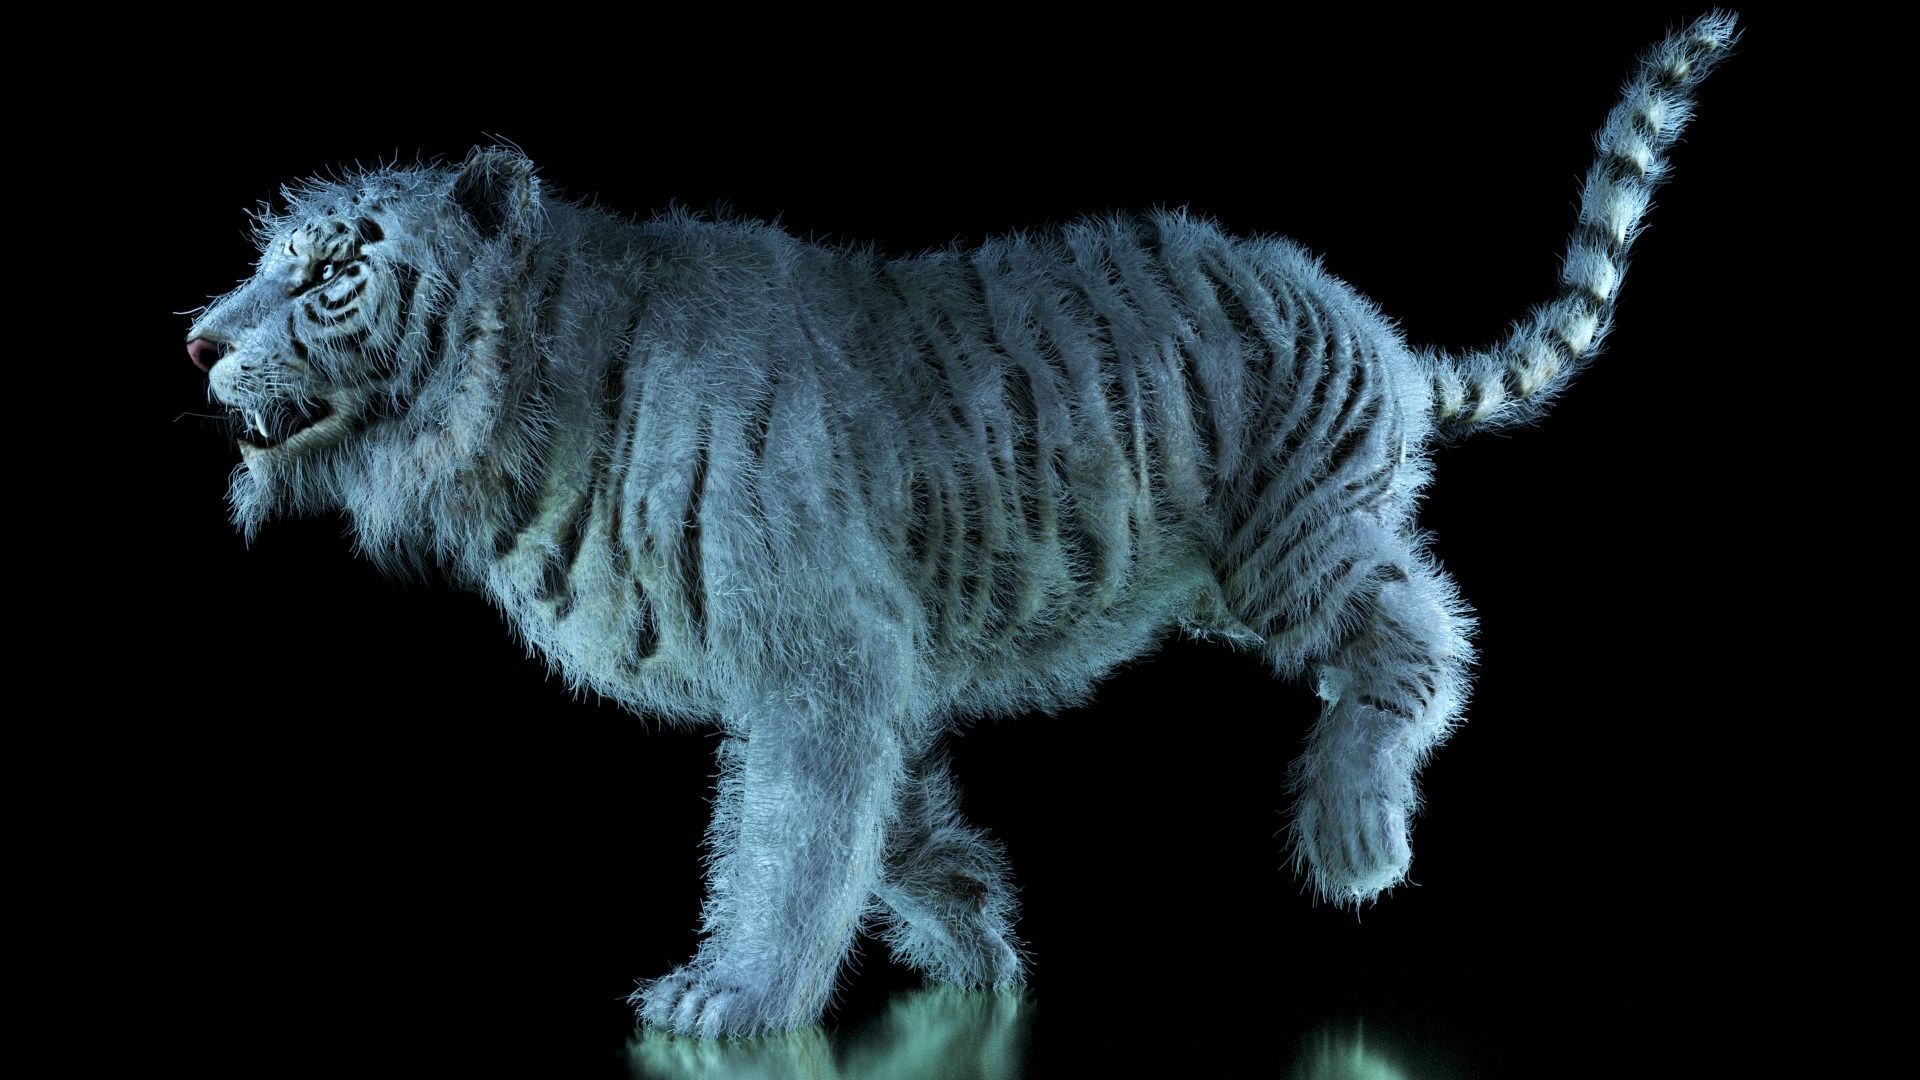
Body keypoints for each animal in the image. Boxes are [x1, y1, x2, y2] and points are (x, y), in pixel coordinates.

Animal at [182, 12, 1738, 1039]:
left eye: (325, 276)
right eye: (265, 264)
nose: (196, 341)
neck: (519, 402)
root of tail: (1376, 329)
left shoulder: (821, 654)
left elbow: (791, 840)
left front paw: (731, 996)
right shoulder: (854, 662)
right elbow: (873, 816)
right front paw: (975, 932)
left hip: (1291, 547)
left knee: (1422, 628)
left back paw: (1355, 832)